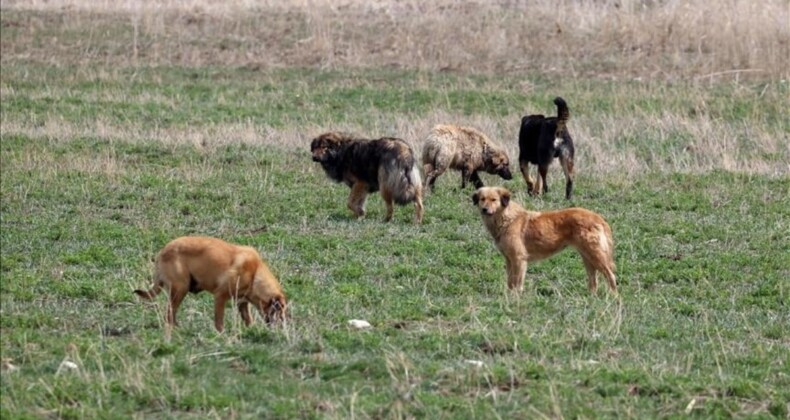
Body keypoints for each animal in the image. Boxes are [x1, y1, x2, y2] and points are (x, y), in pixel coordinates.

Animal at [135, 236, 290, 332]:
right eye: (280, 310)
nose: (283, 326)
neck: (255, 273)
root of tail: (162, 252)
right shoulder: (220, 296)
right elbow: (219, 321)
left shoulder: (242, 303)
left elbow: (248, 320)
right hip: (180, 289)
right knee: (169, 314)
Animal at [470, 187, 620, 296]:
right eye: (482, 199)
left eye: (494, 199)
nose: (484, 209)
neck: (506, 218)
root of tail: (598, 217)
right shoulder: (509, 259)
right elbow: (510, 281)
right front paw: (509, 295)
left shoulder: (519, 259)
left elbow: (517, 282)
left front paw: (515, 297)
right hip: (587, 257)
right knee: (593, 280)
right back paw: (591, 297)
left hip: (595, 255)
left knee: (610, 275)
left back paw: (613, 296)